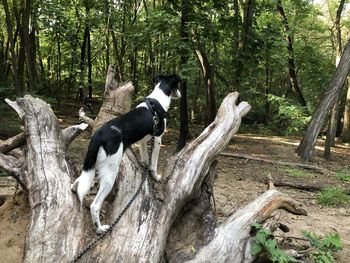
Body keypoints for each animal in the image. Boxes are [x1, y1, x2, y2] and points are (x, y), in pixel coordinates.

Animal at [71, 75, 180, 235]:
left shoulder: (143, 141)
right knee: (95, 205)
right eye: (177, 85)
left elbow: (145, 158)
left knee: (79, 181)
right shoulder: (158, 139)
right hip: (110, 173)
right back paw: (100, 229)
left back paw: (74, 189)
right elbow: (153, 163)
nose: (181, 94)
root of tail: (98, 135)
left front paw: (145, 168)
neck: (157, 100)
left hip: (94, 165)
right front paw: (155, 176)